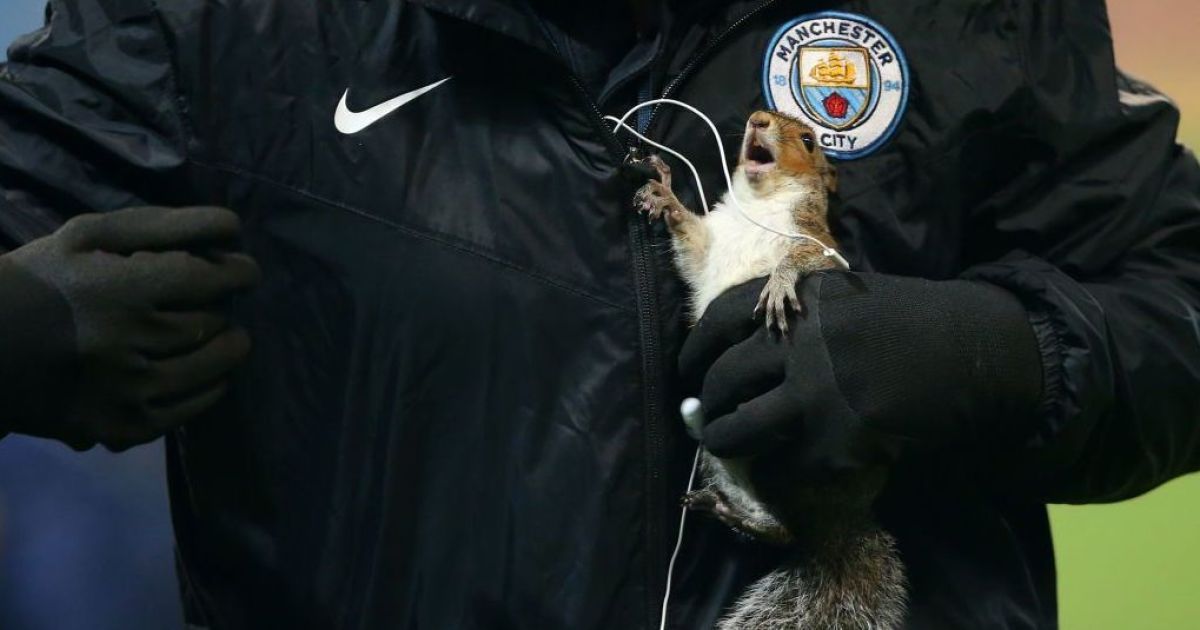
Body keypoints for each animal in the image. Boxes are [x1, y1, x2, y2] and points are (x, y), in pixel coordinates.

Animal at [633, 110, 907, 629]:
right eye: (760, 117)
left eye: (809, 140)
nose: (758, 118)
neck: (758, 204)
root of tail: (840, 522)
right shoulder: (709, 246)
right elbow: (692, 245)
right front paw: (666, 195)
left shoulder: (818, 241)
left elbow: (806, 259)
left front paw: (780, 282)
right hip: (722, 452)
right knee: (776, 524)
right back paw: (726, 509)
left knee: (788, 530)